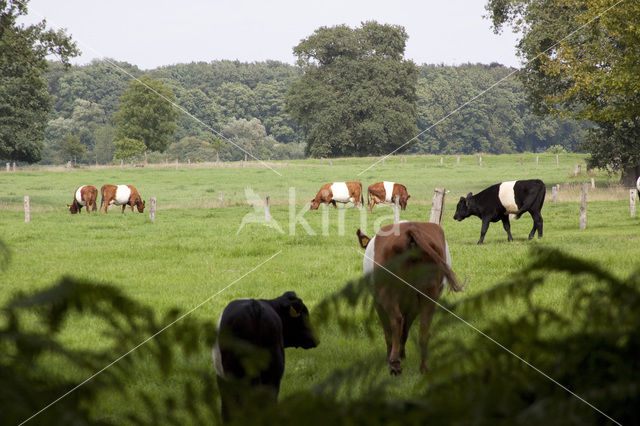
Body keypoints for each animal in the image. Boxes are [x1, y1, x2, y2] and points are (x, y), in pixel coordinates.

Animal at [356, 223, 460, 376]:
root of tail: (410, 227)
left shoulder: (378, 302)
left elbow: (389, 331)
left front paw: (391, 355)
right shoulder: (413, 308)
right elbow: (405, 331)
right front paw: (402, 353)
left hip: (388, 291)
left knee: (396, 320)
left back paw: (394, 363)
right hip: (429, 294)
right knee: (424, 328)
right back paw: (424, 367)